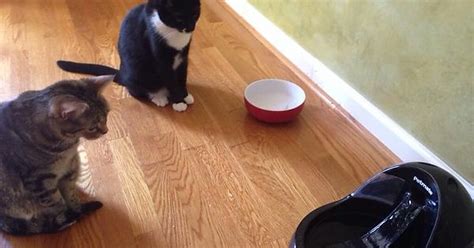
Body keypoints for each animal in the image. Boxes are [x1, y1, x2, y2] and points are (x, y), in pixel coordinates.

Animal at [0, 75, 112, 234]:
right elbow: (57, 203)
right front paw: (68, 216)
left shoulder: (70, 169)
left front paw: (75, 207)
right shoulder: (40, 181)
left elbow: (70, 194)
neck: (67, 148)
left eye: (107, 115)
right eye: (92, 128)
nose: (106, 131)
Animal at [58, 0, 201, 111]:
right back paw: (159, 98)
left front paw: (185, 95)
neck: (175, 34)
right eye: (179, 18)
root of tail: (122, 73)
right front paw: (178, 102)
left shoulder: (183, 58)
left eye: (195, 13)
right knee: (139, 91)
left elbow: (181, 77)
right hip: (140, 75)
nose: (191, 27)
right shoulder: (161, 60)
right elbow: (171, 81)